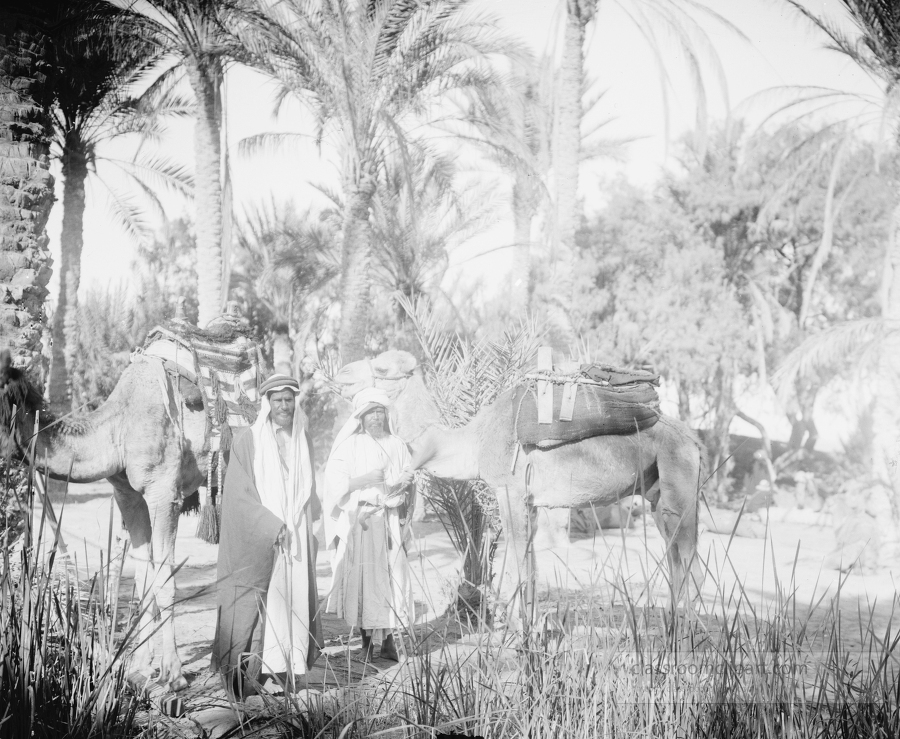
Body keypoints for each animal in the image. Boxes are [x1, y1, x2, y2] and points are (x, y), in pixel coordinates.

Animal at [0, 350, 209, 692]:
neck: (117, 427)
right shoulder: (128, 495)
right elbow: (144, 579)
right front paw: (140, 669)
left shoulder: (165, 493)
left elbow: (165, 581)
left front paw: (174, 675)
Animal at [334, 350, 708, 620]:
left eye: (382, 368)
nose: (342, 373)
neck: (473, 441)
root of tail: (694, 439)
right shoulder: (530, 501)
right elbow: (529, 561)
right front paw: (531, 629)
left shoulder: (509, 490)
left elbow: (516, 558)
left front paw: (518, 632)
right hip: (655, 492)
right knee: (675, 555)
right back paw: (671, 624)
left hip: (679, 478)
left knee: (689, 557)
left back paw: (686, 634)